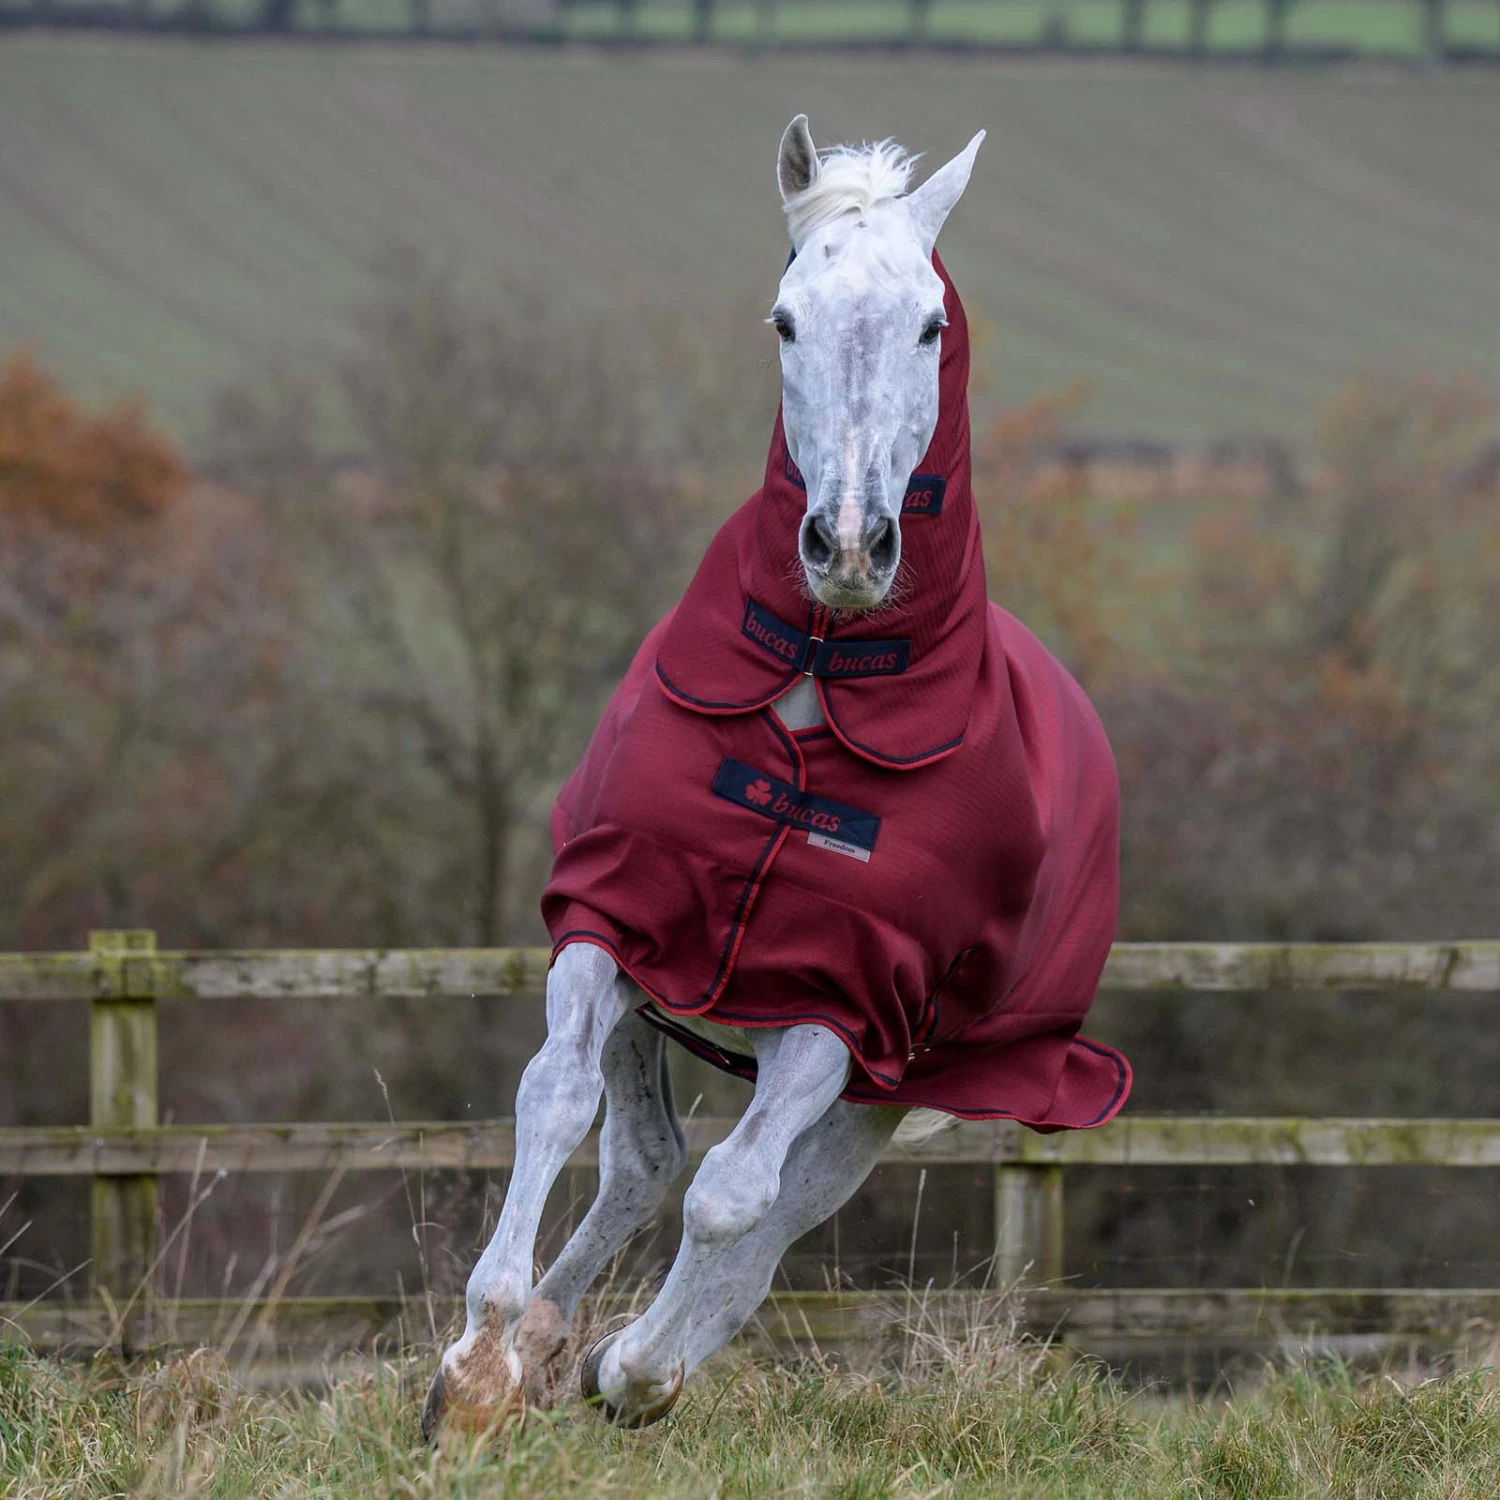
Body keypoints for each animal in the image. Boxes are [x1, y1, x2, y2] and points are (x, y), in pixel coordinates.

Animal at [424, 115, 1130, 1437]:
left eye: (931, 325)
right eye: (786, 317)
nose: (848, 545)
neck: (815, 679)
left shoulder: (841, 1012)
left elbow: (736, 1198)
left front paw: (627, 1367)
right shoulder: (613, 928)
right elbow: (554, 1099)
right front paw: (478, 1367)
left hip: (892, 1087)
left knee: (771, 1211)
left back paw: (636, 1367)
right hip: (670, 1011)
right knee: (642, 1162)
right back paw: (548, 1337)